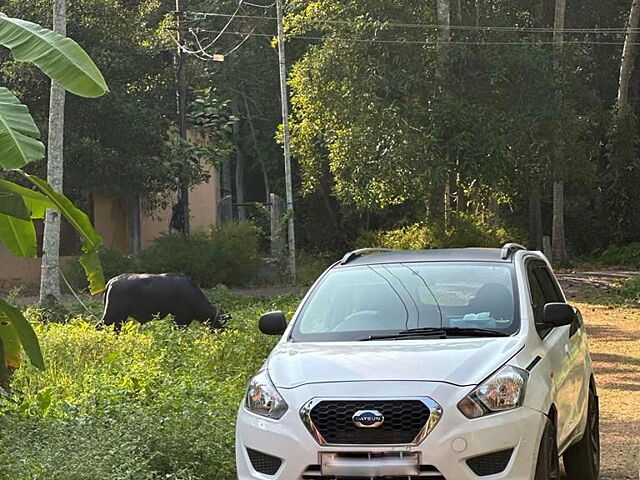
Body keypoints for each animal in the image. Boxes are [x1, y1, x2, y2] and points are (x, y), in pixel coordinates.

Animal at [101, 274, 229, 330]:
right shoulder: (181, 320)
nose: (222, 332)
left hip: (120, 319)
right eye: (221, 322)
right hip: (112, 316)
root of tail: (112, 281)